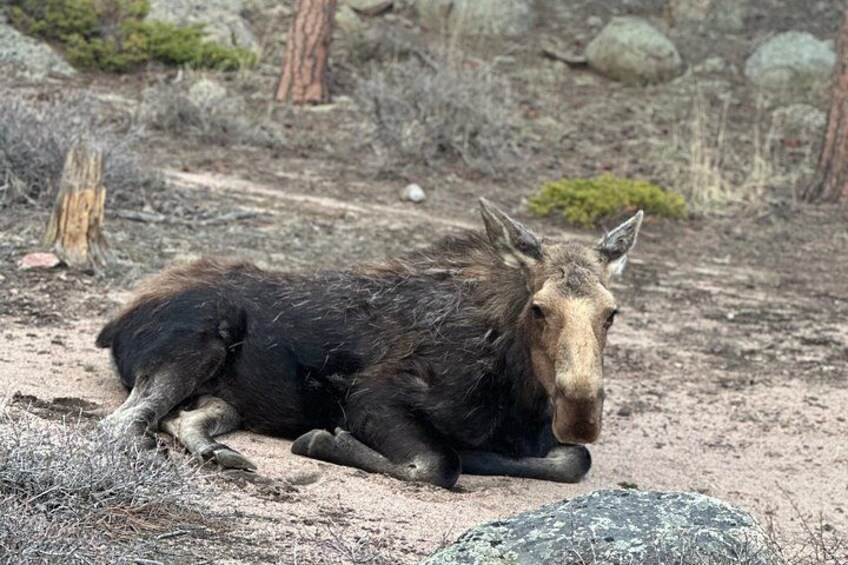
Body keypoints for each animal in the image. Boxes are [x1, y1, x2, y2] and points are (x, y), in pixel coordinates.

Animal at [97, 200, 643, 488]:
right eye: (539, 308)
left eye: (611, 313)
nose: (581, 412)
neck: (520, 395)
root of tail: (114, 322)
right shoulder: (371, 397)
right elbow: (440, 463)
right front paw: (326, 441)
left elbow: (575, 460)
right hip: (201, 340)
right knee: (123, 423)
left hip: (227, 399)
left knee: (181, 418)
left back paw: (218, 452)